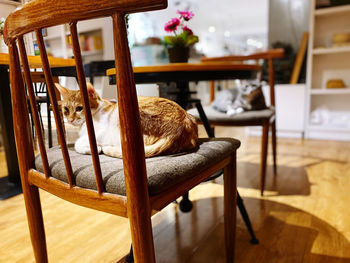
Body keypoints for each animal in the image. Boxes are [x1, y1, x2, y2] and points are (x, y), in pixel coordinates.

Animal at [54, 82, 197, 158]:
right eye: (66, 109)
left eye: (79, 108)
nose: (70, 120)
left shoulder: (102, 132)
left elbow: (79, 142)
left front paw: (94, 148)